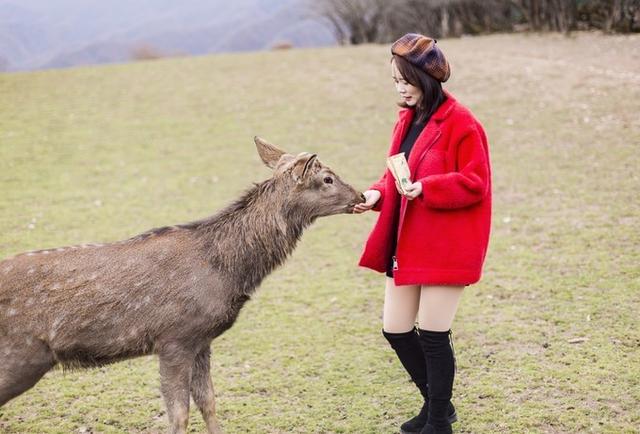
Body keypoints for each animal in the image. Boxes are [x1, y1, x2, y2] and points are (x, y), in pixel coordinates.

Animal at [0, 138, 364, 434]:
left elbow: (209, 402)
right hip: (20, 355)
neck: (227, 271)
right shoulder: (174, 338)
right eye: (327, 178)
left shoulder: (201, 340)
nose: (361, 195)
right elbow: (179, 415)